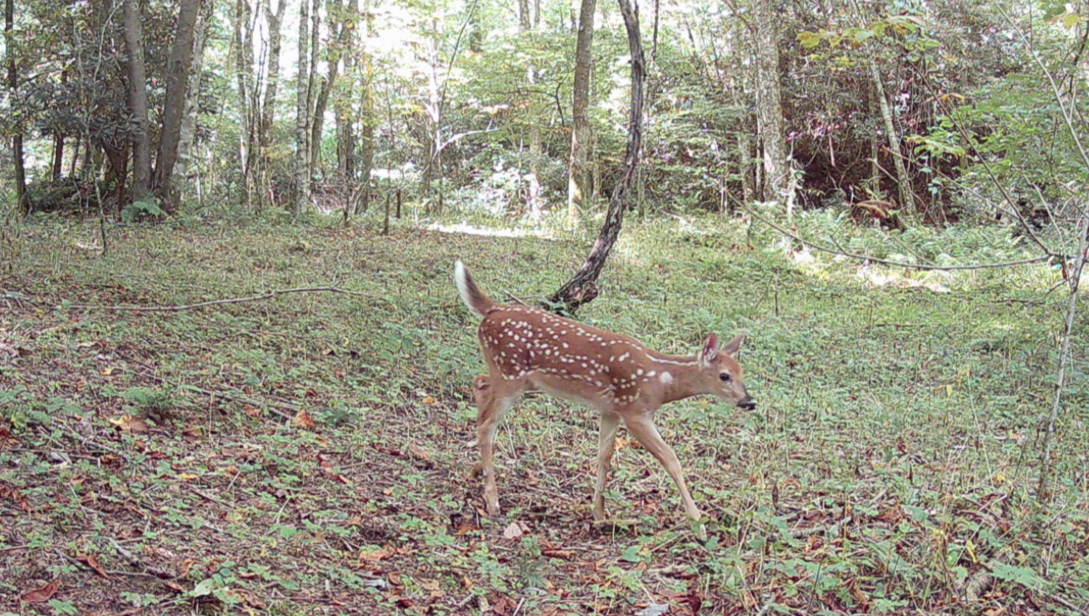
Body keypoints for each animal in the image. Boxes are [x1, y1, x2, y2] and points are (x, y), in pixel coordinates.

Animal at [454, 260, 755, 540]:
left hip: (514, 377)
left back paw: (476, 470)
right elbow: (671, 459)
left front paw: (600, 514)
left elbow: (604, 456)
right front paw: (699, 526)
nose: (749, 402)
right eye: (725, 376)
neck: (661, 380)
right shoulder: (635, 411)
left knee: (479, 385)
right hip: (510, 374)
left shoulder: (610, 410)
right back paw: (493, 501)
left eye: (742, 373)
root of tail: (492, 309)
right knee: (487, 422)